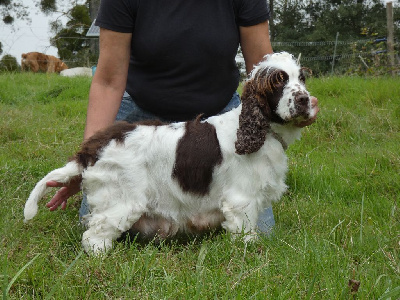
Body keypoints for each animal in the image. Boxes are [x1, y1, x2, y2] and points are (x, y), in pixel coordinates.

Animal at [24, 51, 318, 253]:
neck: (260, 131)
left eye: (301, 79)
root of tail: (91, 149)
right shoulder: (241, 201)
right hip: (121, 201)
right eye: (278, 82)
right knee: (94, 238)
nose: (305, 100)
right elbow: (245, 237)